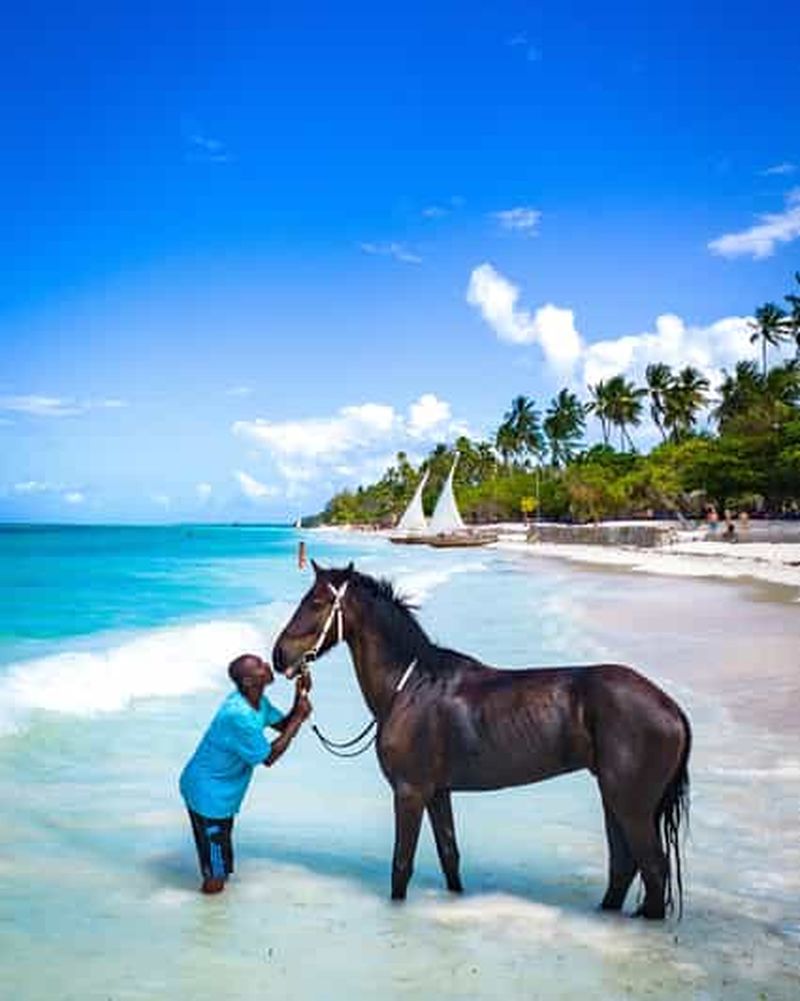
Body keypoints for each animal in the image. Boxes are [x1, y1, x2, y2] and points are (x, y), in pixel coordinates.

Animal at [272, 561, 691, 919]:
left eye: (316, 603)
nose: (279, 656)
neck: (409, 686)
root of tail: (671, 707)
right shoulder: (436, 792)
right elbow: (449, 856)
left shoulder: (409, 792)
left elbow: (401, 866)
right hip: (614, 799)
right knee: (623, 866)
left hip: (631, 805)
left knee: (652, 870)